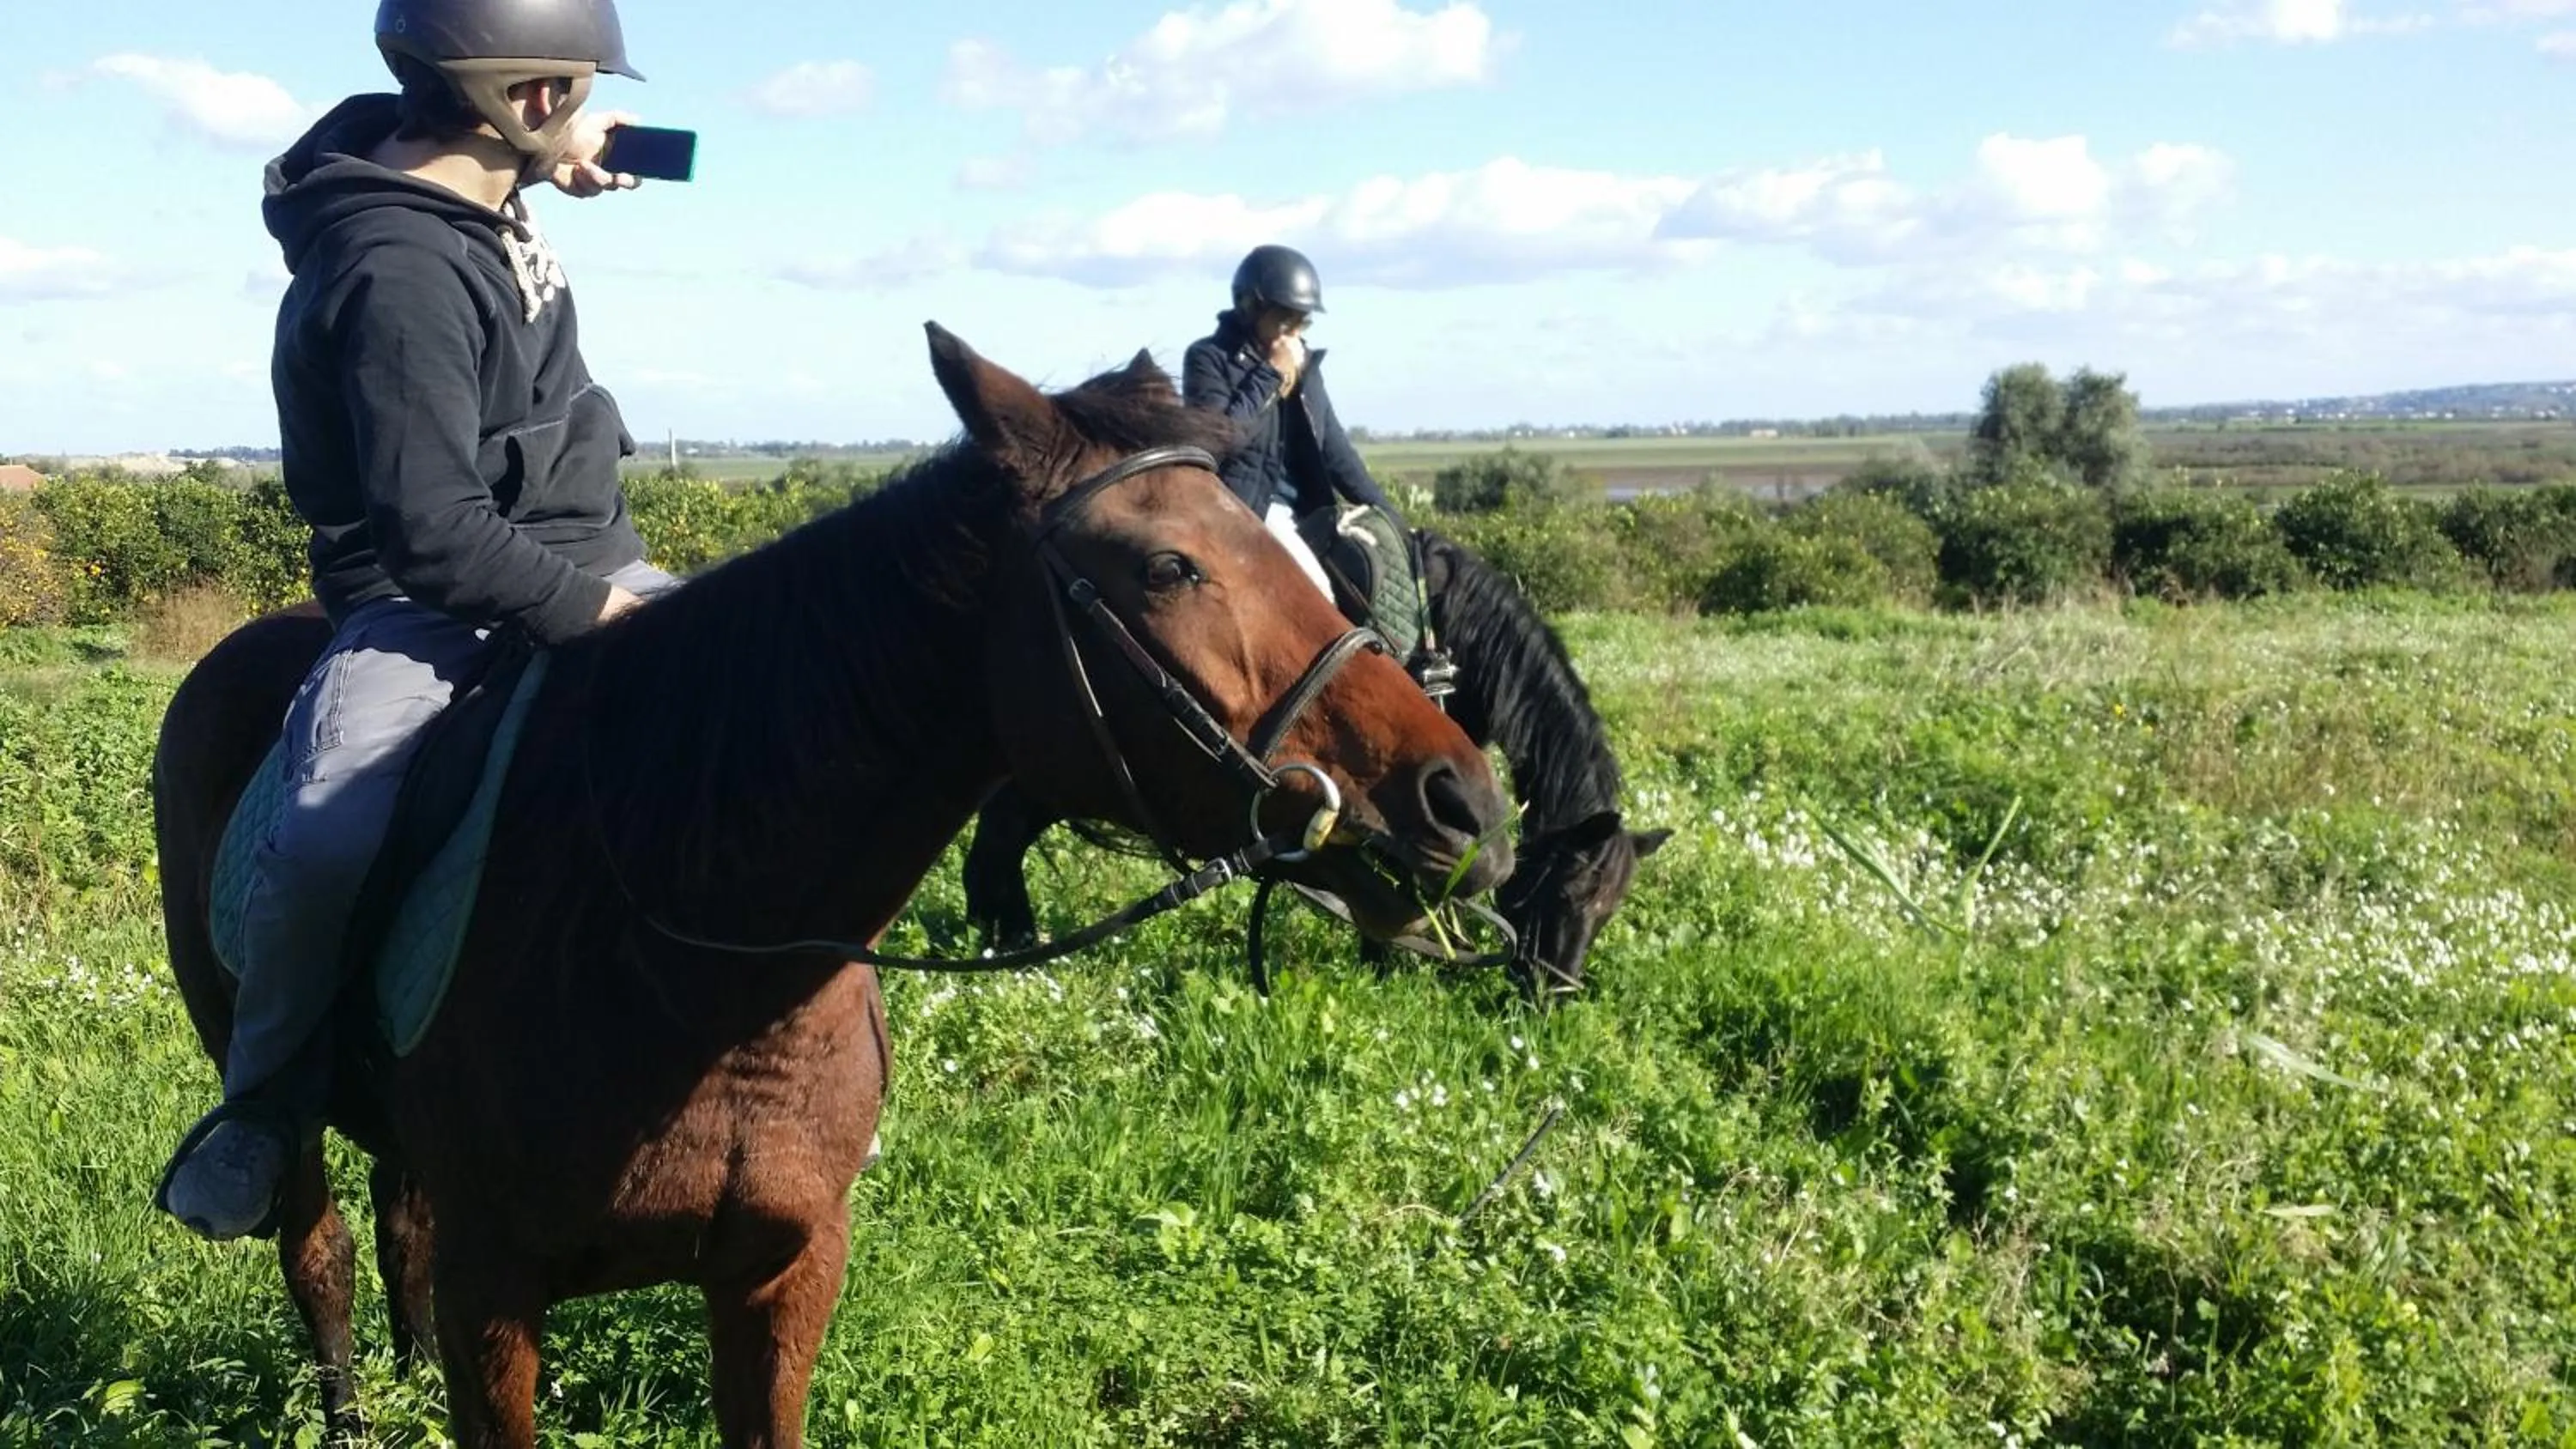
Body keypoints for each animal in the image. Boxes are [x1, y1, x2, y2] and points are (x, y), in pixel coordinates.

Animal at [155, 326, 1515, 1448]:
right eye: (1169, 565)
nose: (1463, 806)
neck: (685, 962)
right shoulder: (502, 1294)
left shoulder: (786, 1272)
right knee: (321, 1248)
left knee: (399, 1224)